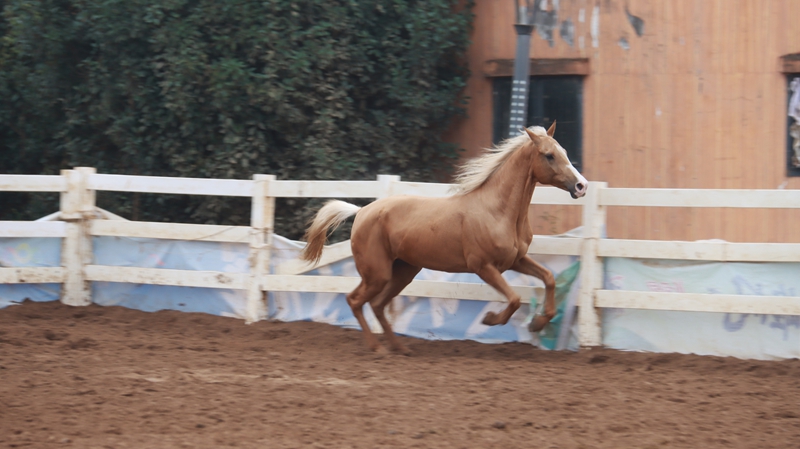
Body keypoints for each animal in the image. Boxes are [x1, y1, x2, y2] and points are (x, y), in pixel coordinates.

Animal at [300, 122, 588, 354]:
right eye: (549, 155)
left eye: (564, 152)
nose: (581, 186)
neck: (497, 210)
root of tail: (361, 212)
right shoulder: (483, 266)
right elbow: (515, 299)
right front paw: (490, 319)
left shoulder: (515, 260)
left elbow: (548, 278)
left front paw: (538, 323)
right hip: (377, 273)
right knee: (356, 300)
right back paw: (378, 348)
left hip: (403, 272)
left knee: (378, 305)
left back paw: (401, 348)